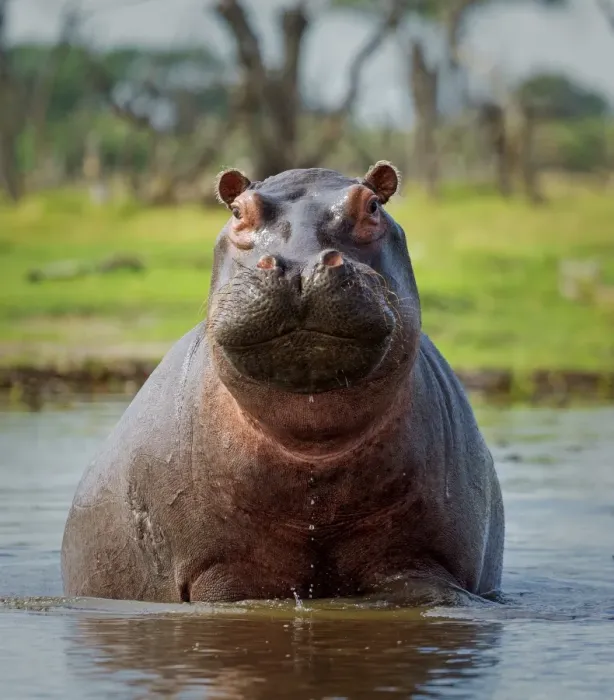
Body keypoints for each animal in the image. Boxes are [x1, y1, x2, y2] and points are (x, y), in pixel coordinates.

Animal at [61, 162, 504, 605]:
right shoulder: (220, 571)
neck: (311, 445)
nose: (299, 266)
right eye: (238, 211)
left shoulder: (422, 562)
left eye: (373, 206)